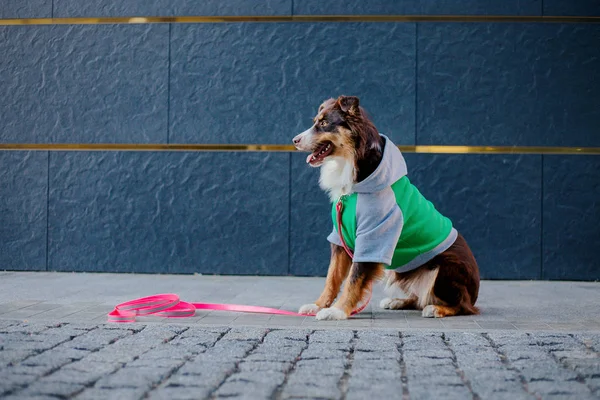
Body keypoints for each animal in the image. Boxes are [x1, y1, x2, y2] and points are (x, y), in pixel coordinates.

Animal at [290, 95, 478, 320]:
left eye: (325, 123)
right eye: (315, 122)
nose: (294, 140)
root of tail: (475, 292)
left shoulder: (374, 235)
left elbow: (354, 279)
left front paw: (337, 311)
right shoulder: (340, 237)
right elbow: (332, 277)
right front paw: (318, 305)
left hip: (446, 268)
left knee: (461, 306)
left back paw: (436, 308)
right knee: (420, 298)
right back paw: (397, 301)